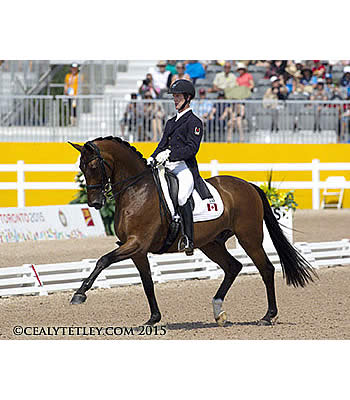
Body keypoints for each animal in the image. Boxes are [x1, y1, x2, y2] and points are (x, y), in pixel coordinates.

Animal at [67, 136, 314, 326]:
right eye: (81, 168)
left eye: (92, 166)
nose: (94, 203)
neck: (136, 190)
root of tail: (249, 185)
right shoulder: (137, 250)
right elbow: (147, 283)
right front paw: (153, 319)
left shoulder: (136, 243)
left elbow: (103, 260)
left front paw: (79, 294)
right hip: (211, 243)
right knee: (233, 267)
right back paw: (218, 312)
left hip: (249, 238)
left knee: (266, 269)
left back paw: (268, 316)